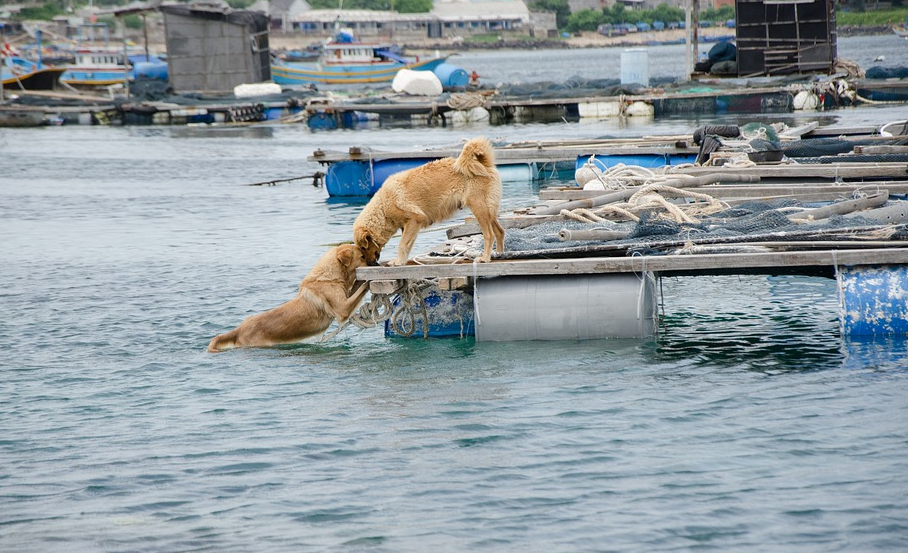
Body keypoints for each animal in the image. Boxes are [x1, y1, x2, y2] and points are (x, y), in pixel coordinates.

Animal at [208, 244, 368, 352]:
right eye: (362, 257)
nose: (373, 262)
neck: (329, 276)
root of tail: (239, 329)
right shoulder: (343, 309)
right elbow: (362, 287)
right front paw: (369, 280)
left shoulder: (346, 297)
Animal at [352, 133, 504, 264]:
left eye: (364, 247)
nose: (370, 263)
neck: (382, 208)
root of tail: (484, 164)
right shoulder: (410, 227)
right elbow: (407, 245)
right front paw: (401, 261)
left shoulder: (415, 220)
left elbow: (402, 244)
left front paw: (398, 262)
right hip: (489, 210)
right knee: (500, 231)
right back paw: (499, 254)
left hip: (479, 208)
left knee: (489, 235)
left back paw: (485, 258)